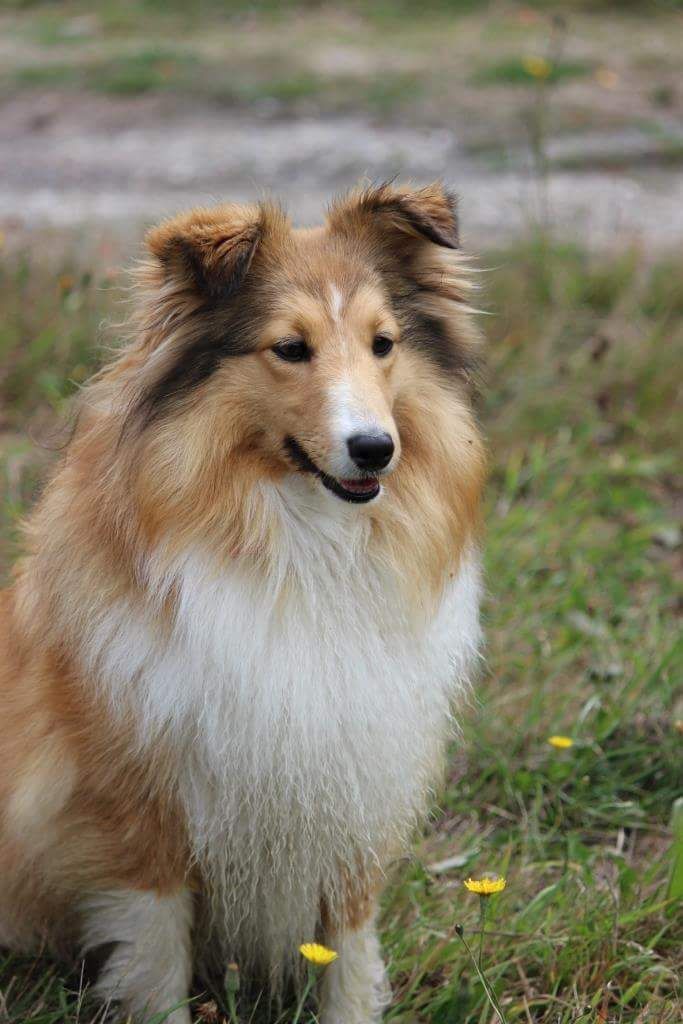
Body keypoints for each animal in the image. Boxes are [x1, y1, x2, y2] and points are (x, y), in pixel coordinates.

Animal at [0, 184, 485, 1024]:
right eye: (289, 349)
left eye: (382, 344)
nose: (375, 449)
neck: (306, 547)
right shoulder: (142, 810)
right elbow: (155, 955)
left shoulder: (352, 782)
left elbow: (347, 946)